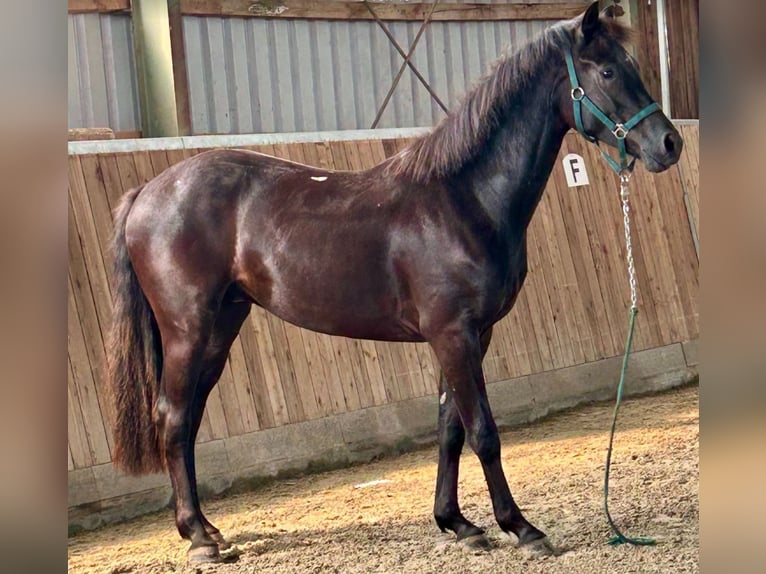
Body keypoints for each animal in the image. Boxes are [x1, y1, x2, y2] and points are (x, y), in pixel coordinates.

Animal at [106, 2, 684, 564]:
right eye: (607, 71)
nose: (670, 142)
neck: (461, 199)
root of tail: (146, 193)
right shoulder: (452, 333)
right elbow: (483, 431)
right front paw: (520, 528)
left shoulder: (472, 335)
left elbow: (450, 427)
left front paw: (458, 524)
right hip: (189, 330)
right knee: (173, 416)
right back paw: (198, 539)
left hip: (223, 324)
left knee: (190, 419)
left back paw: (207, 528)